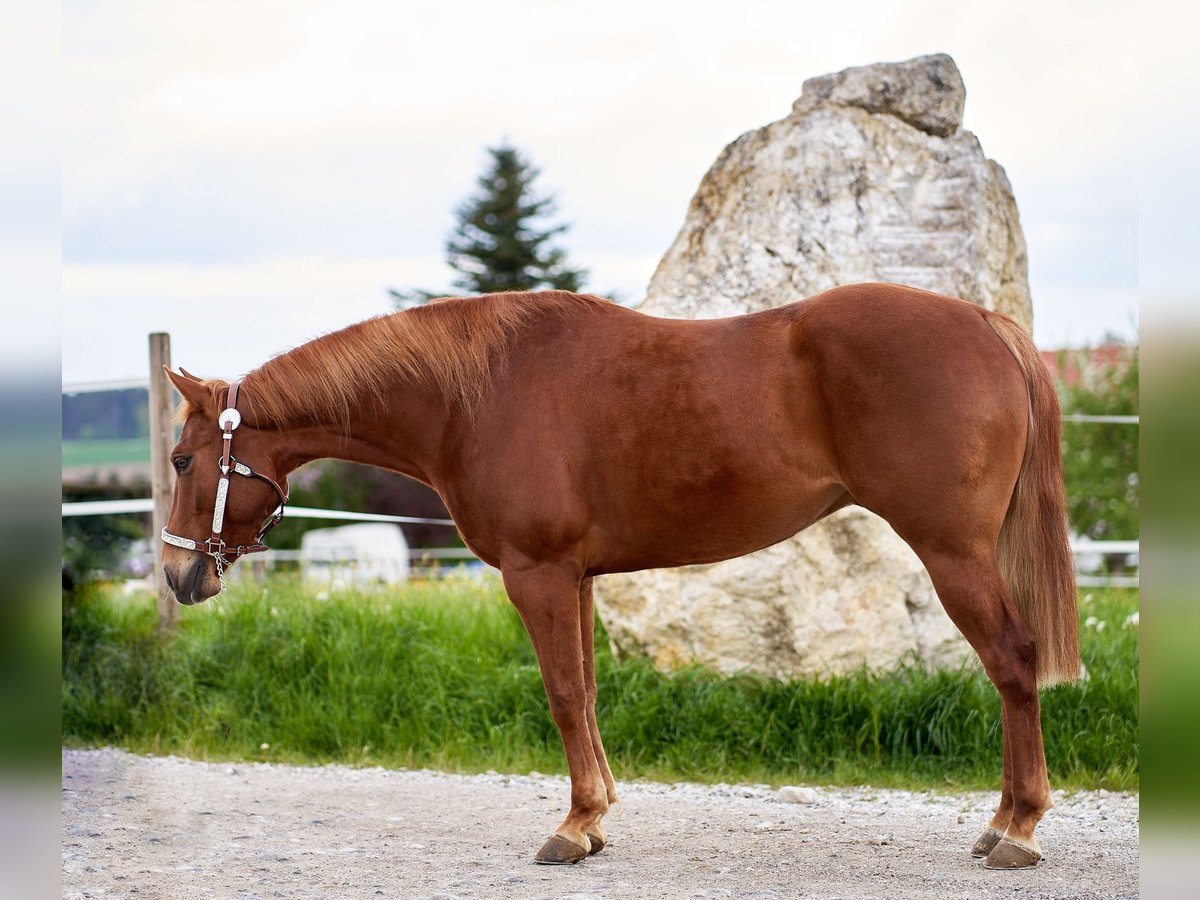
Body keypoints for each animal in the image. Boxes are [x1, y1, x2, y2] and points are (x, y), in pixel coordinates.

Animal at [162, 285, 1080, 868]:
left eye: (181, 459)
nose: (176, 575)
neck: (473, 398)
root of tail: (986, 324)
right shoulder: (577, 578)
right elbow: (590, 693)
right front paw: (596, 816)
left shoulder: (536, 574)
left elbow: (564, 694)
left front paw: (572, 829)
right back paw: (1000, 824)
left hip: (953, 551)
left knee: (1013, 661)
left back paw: (1019, 831)